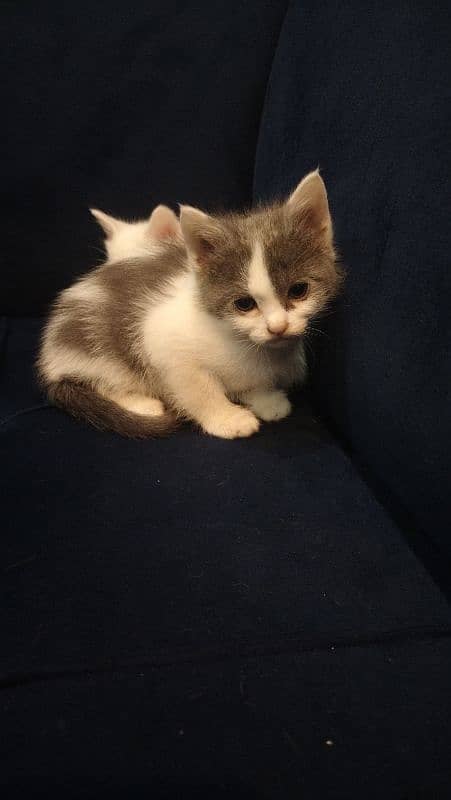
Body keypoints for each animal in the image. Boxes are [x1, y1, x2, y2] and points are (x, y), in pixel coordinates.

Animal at [38, 171, 342, 440]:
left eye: (299, 290)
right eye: (244, 304)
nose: (277, 327)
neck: (245, 344)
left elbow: (250, 381)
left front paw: (265, 399)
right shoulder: (162, 342)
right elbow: (198, 387)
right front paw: (228, 419)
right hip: (100, 353)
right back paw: (141, 404)